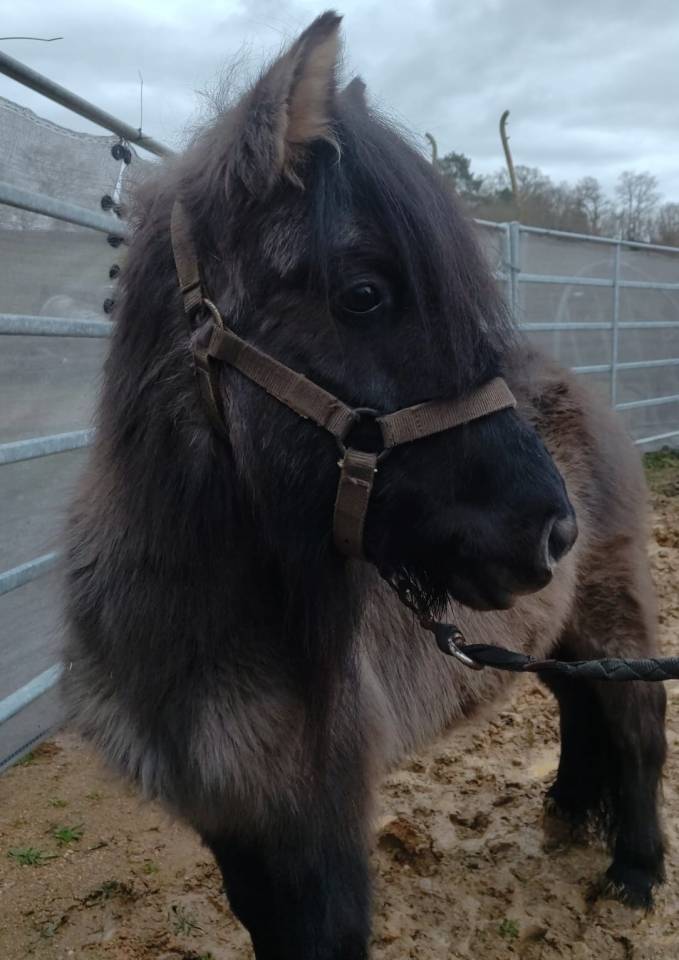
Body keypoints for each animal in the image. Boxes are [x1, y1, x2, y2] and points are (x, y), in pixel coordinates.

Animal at [62, 12, 667, 958]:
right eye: (364, 294)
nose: (550, 530)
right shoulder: (235, 820)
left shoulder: (322, 824)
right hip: (555, 624)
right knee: (579, 700)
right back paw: (568, 812)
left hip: (609, 600)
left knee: (635, 720)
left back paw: (635, 871)